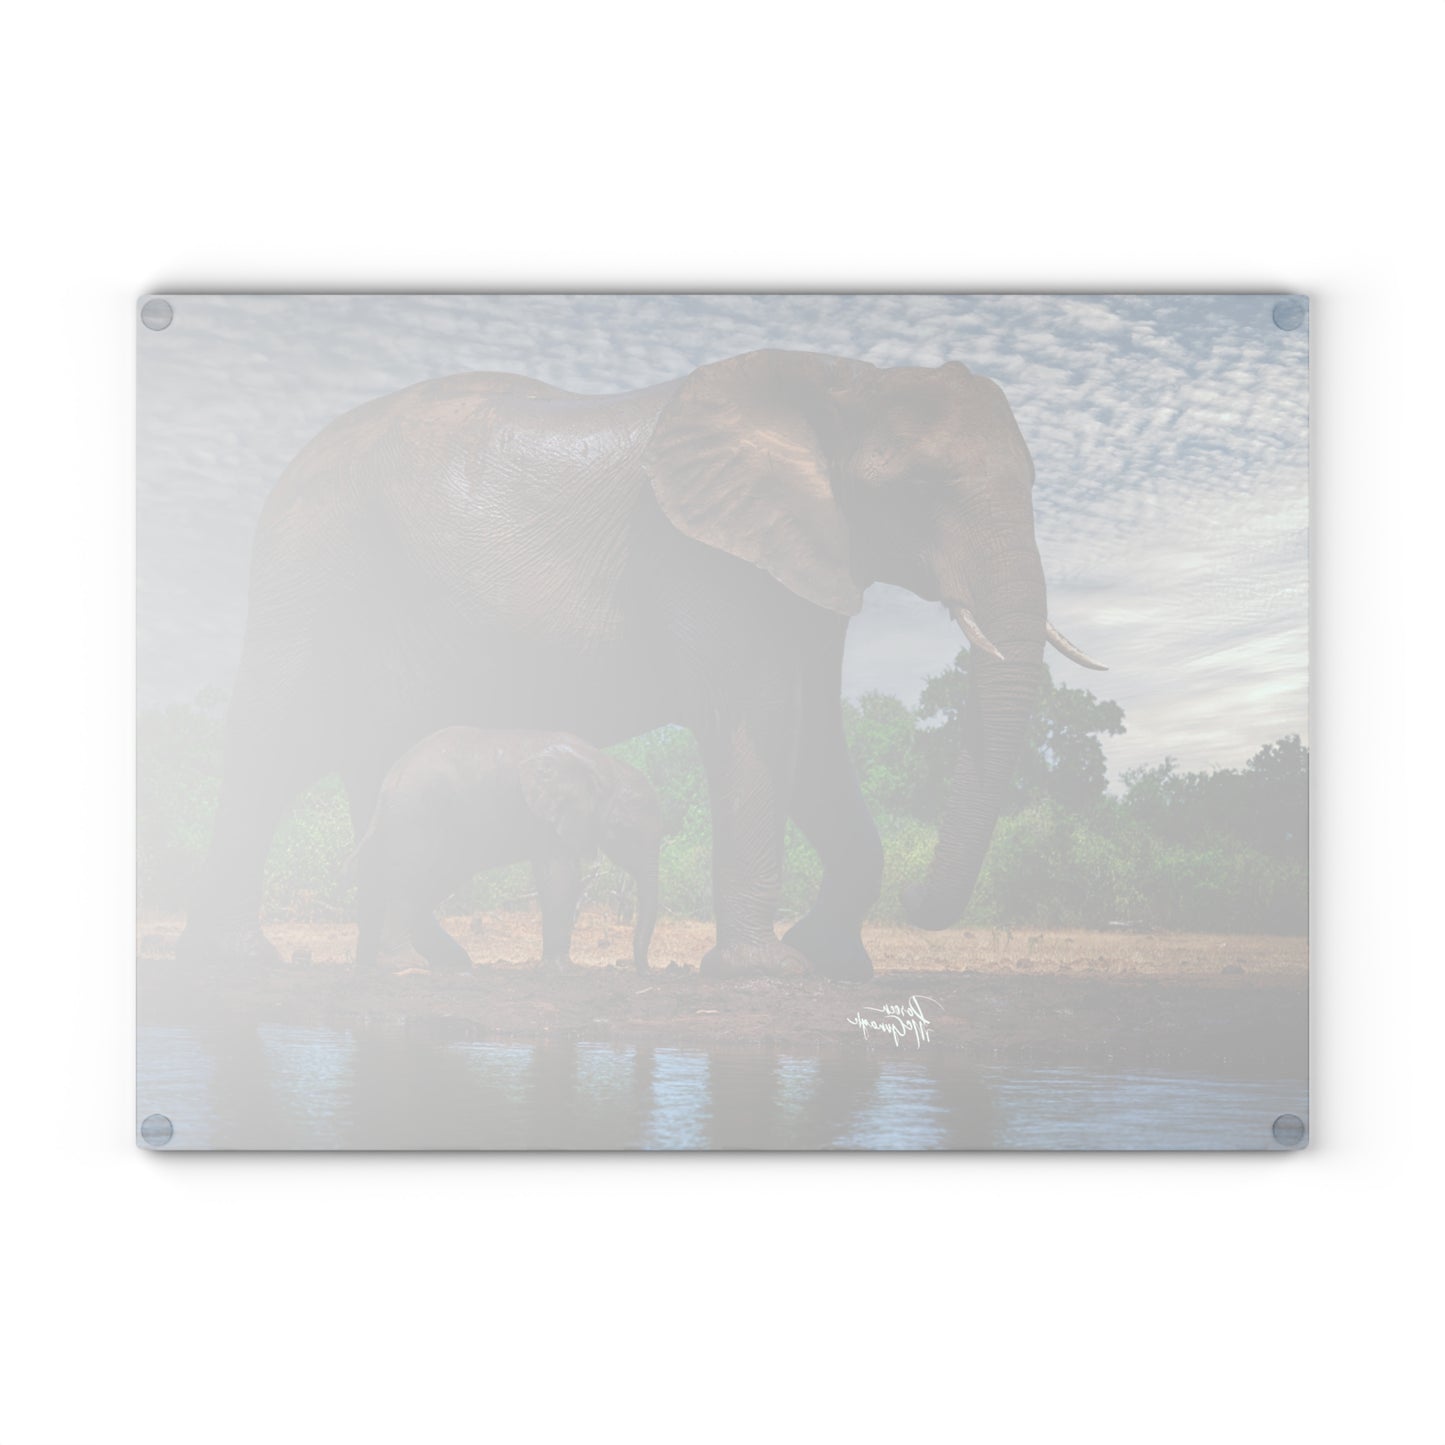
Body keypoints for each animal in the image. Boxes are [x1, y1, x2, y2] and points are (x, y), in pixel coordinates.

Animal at [351, 728, 663, 973]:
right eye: (625, 829)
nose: (644, 970)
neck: (603, 765)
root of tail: (391, 779)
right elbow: (560, 876)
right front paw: (561, 968)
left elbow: (555, 875)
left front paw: (556, 965)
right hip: (419, 812)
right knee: (412, 878)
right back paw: (408, 963)